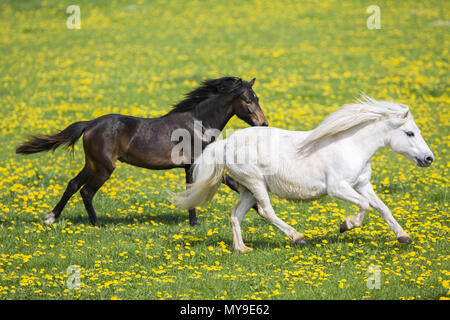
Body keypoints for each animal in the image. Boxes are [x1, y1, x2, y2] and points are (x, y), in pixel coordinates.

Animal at [16, 77, 268, 228]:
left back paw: (51, 217)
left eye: (257, 98)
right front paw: (194, 223)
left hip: (93, 164)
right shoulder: (195, 164)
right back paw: (97, 224)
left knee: (73, 184)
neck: (198, 123)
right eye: (247, 100)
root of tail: (90, 124)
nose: (263, 123)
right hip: (104, 167)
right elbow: (204, 189)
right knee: (86, 191)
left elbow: (227, 185)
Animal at [174, 95, 434, 252]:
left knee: (235, 214)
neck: (351, 145)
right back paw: (298, 237)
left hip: (247, 189)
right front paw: (346, 225)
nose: (429, 158)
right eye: (410, 133)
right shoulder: (338, 188)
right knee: (267, 212)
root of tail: (227, 143)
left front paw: (403, 236)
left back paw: (242, 249)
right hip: (256, 183)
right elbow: (365, 206)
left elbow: (382, 208)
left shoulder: (362, 185)